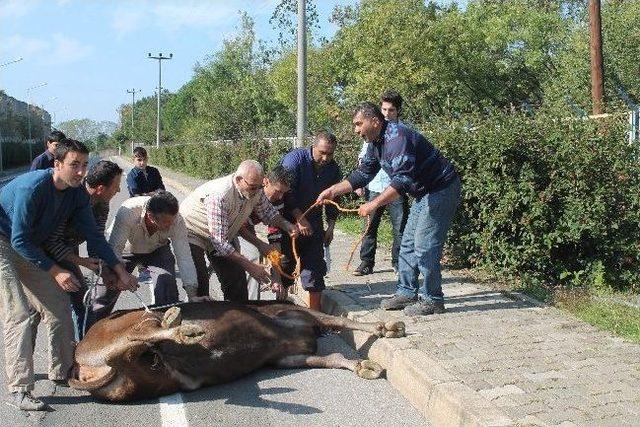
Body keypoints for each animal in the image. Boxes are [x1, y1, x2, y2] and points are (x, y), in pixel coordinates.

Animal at [69, 300, 404, 402]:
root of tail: (80, 366)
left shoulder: (285, 357)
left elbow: (333, 357)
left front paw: (365, 367)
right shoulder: (293, 313)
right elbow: (341, 320)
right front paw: (387, 327)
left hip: (153, 375)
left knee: (133, 354)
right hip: (124, 324)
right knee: (140, 333)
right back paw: (181, 326)